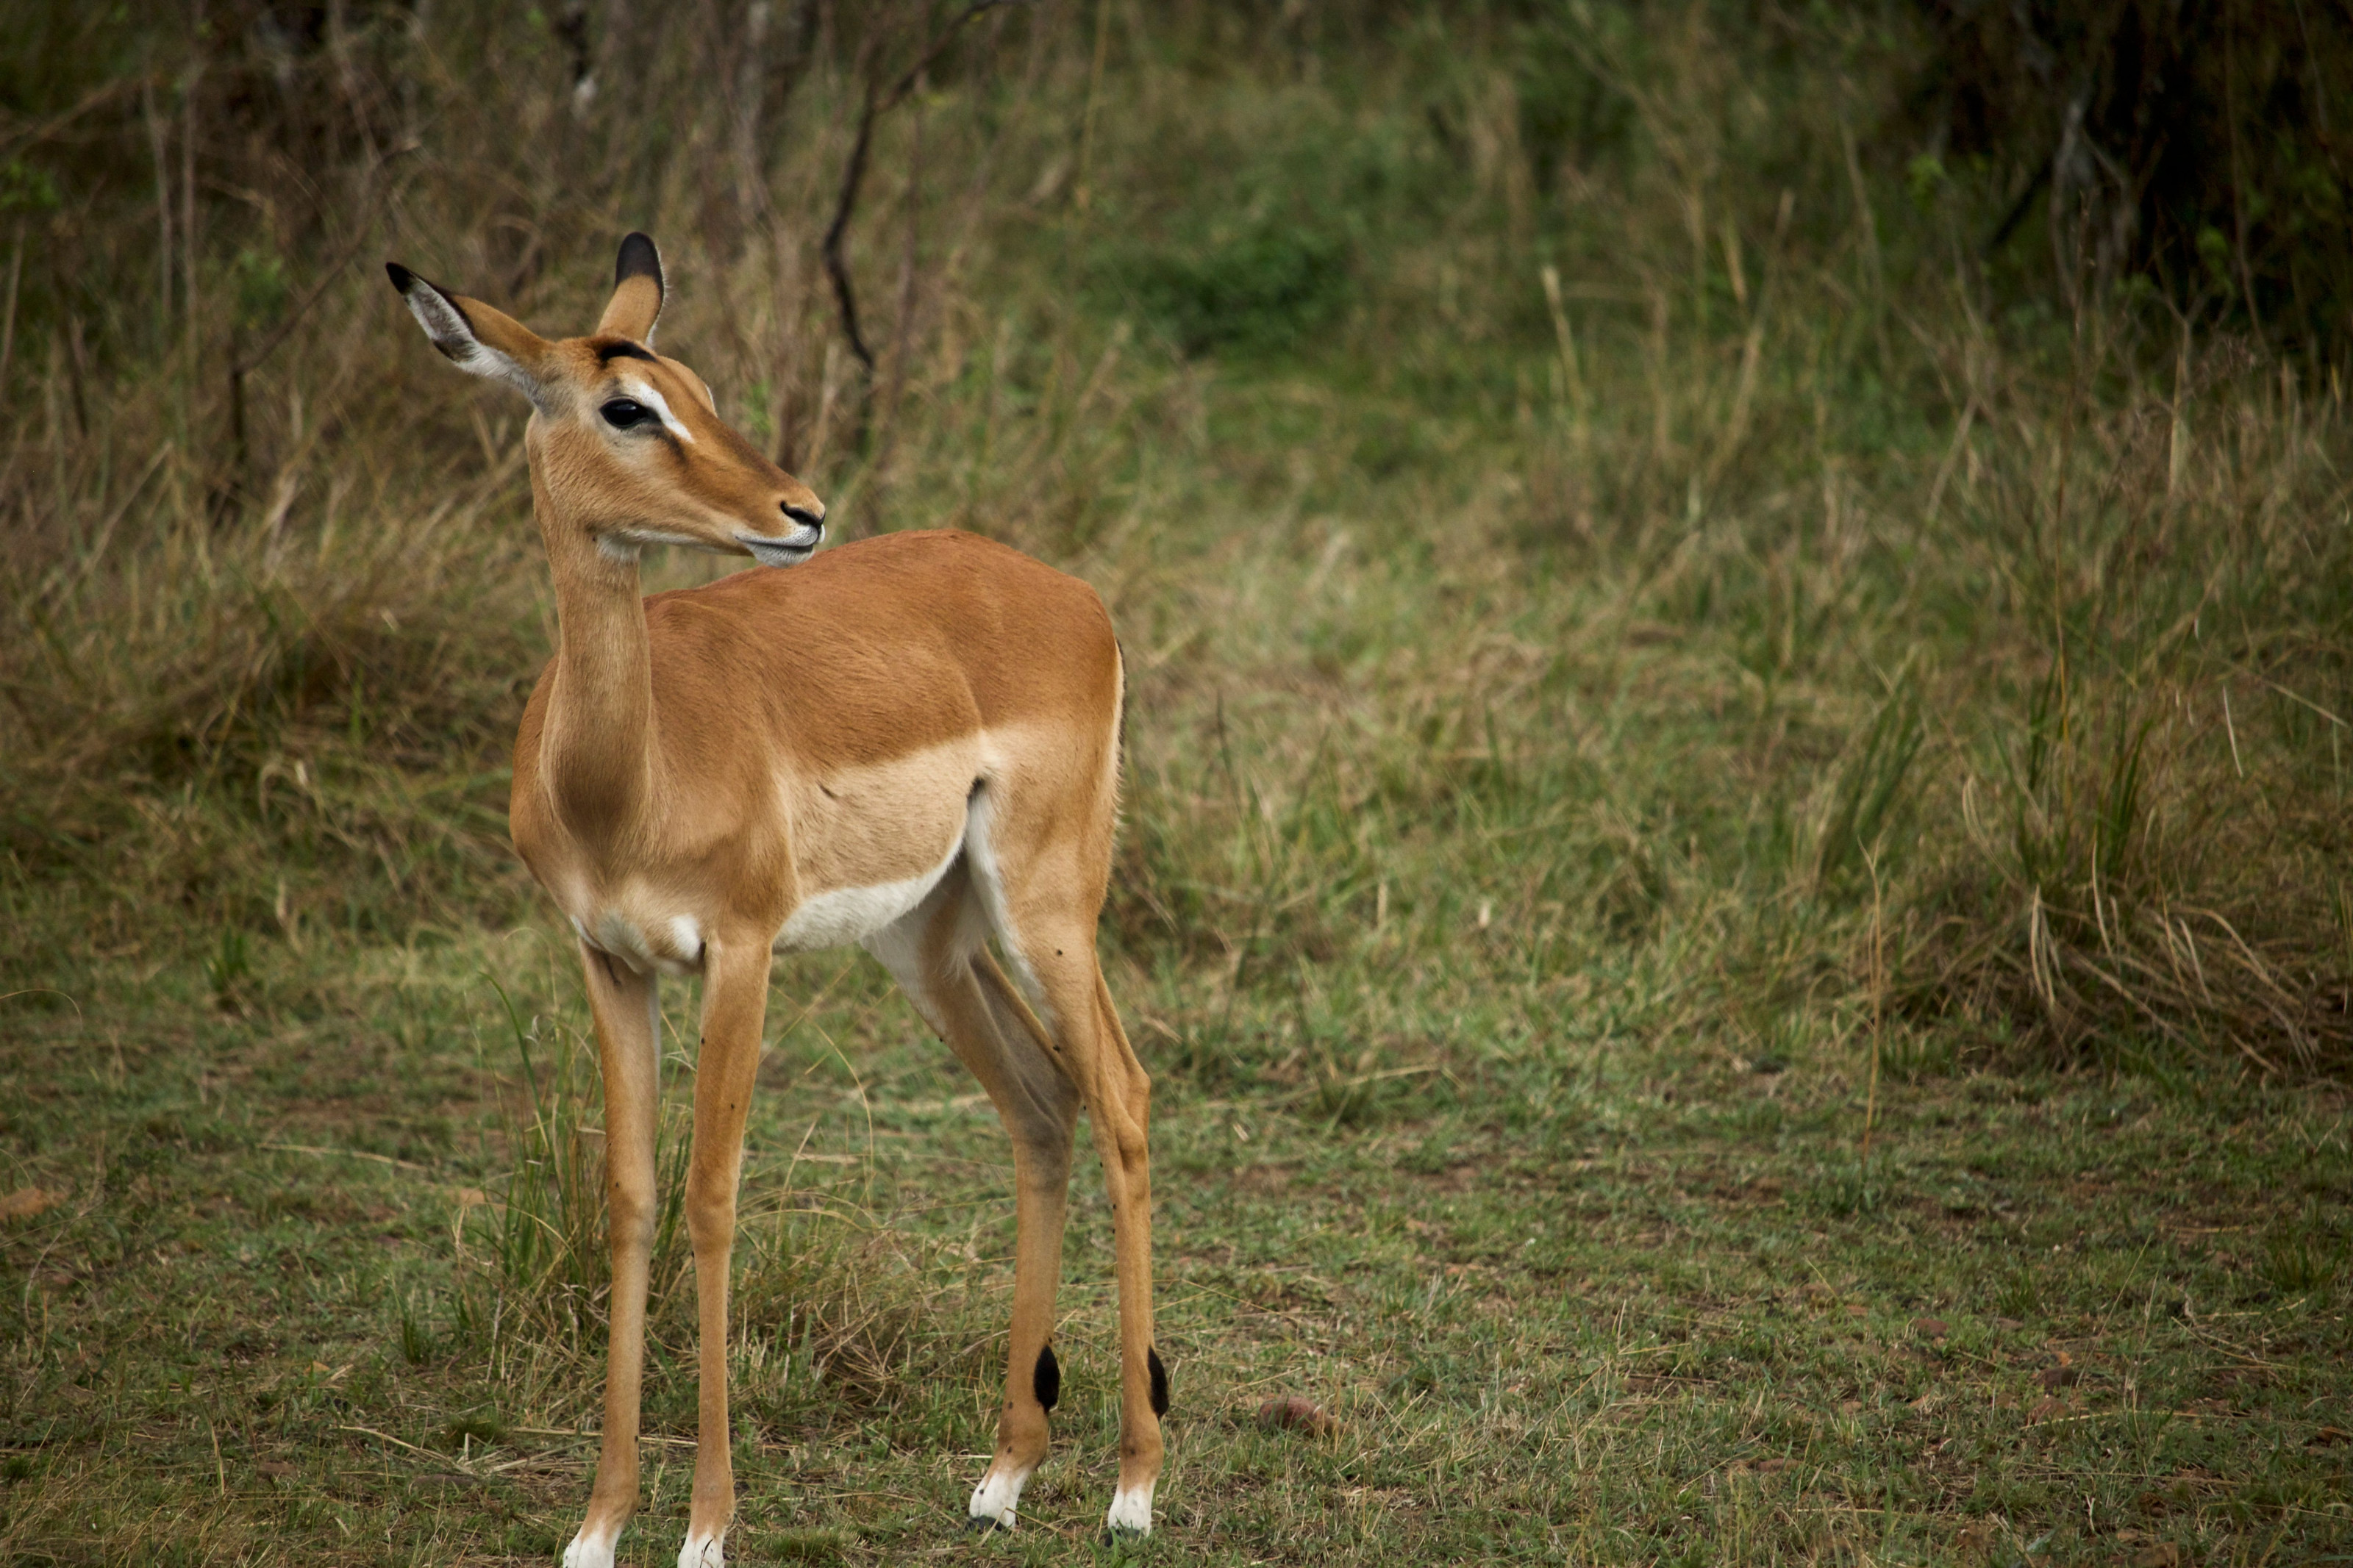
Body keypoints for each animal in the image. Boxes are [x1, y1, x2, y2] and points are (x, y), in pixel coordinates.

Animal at [386, 234, 1164, 1565]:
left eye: (694, 387)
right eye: (629, 404)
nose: (800, 512)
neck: (626, 776)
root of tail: (1072, 594)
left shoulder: (740, 953)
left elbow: (713, 1198)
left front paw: (705, 1529)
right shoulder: (609, 960)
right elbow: (632, 1199)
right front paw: (597, 1526)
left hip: (1046, 901)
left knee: (1120, 1093)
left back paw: (1133, 1488)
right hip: (930, 940)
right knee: (1041, 1102)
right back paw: (1003, 1475)